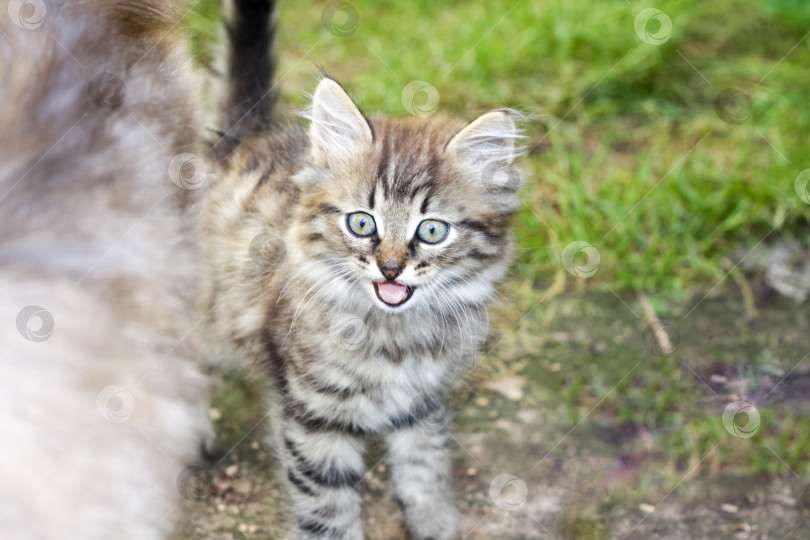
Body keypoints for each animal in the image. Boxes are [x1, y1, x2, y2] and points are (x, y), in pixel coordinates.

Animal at [199, 2, 520, 536]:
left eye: (432, 230)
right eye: (362, 222)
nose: (390, 268)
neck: (394, 338)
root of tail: (246, 138)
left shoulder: (421, 403)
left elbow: (425, 469)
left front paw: (434, 523)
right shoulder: (314, 416)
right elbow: (327, 509)